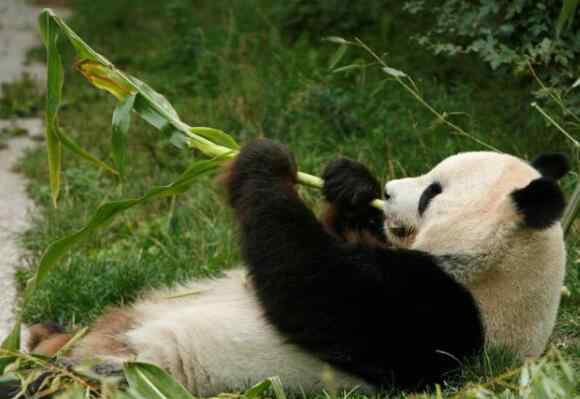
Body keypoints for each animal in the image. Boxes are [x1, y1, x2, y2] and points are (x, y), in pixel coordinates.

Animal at [24, 141, 568, 396]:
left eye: (433, 192)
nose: (390, 191)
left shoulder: (440, 318)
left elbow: (311, 285)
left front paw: (264, 161)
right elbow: (338, 241)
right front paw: (351, 185)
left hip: (130, 375)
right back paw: (39, 334)